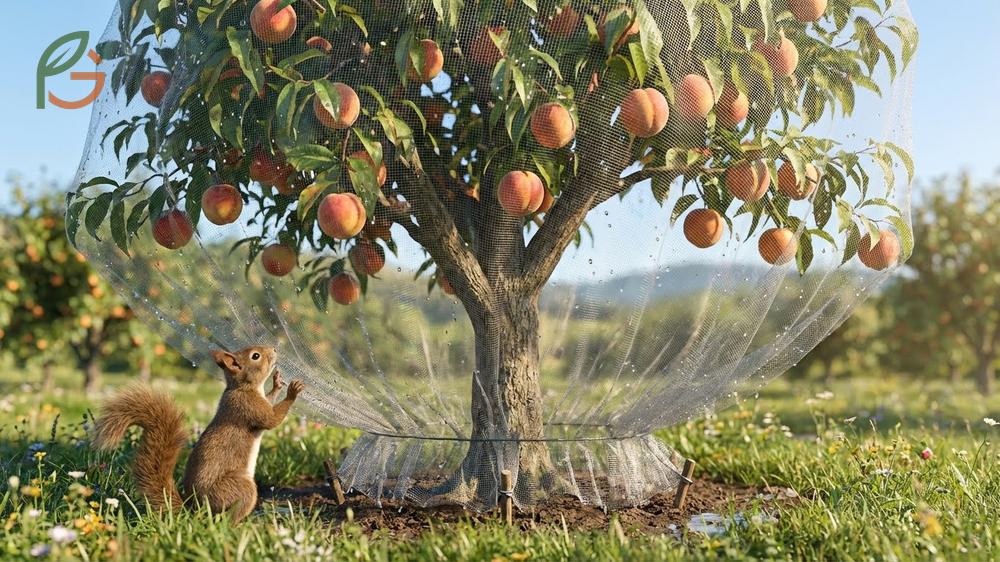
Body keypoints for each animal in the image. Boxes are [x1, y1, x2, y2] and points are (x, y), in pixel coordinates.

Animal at [92, 345, 304, 523]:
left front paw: (277, 384)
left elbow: (270, 401)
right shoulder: (248, 407)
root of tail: (195, 510)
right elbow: (272, 419)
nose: (274, 349)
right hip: (237, 488)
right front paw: (292, 392)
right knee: (228, 517)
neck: (242, 388)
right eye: (255, 356)